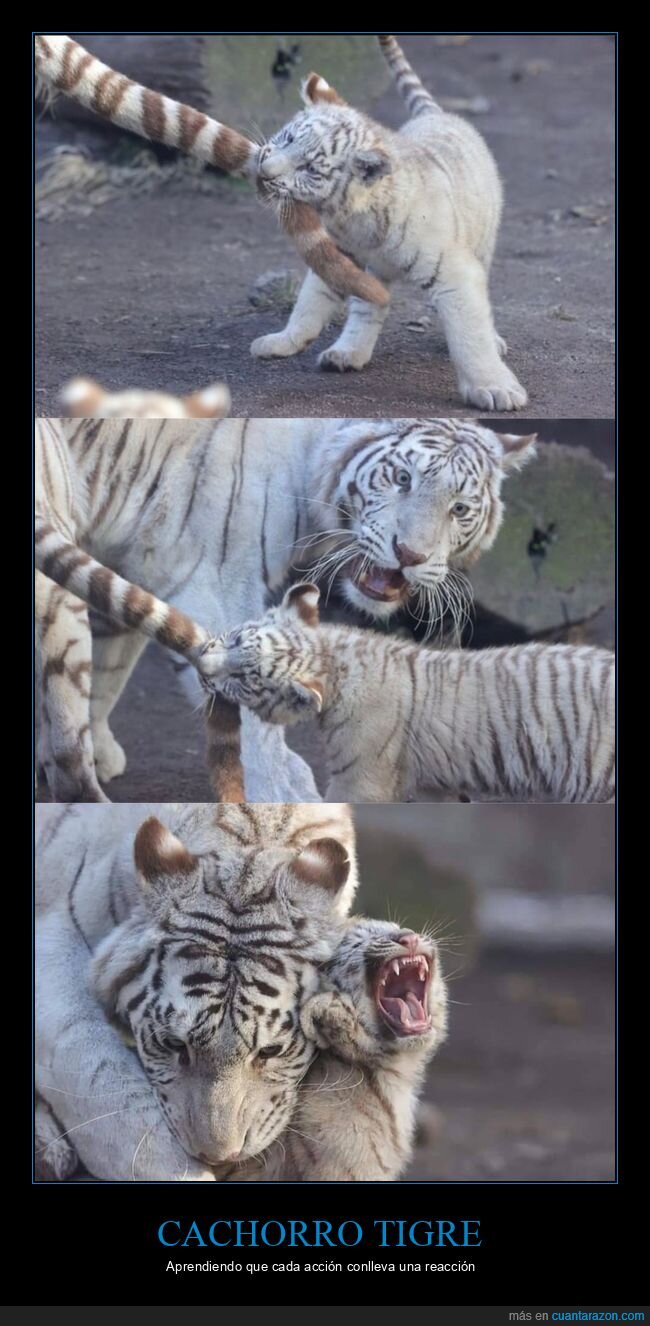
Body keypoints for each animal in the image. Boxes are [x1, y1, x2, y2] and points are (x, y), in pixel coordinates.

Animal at [34, 419, 533, 800]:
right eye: (402, 479)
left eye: (459, 508)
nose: (409, 553)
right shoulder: (213, 579)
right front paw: (285, 793)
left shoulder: (131, 557)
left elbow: (109, 668)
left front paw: (102, 748)